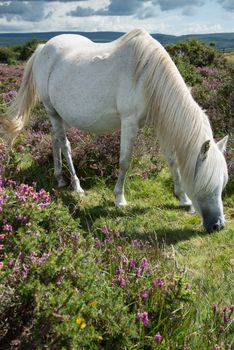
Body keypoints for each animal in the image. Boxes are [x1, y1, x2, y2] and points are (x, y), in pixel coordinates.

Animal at [0, 28, 229, 232]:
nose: (217, 226)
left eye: (223, 182)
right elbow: (125, 161)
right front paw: (119, 198)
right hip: (51, 110)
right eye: (204, 182)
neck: (146, 74)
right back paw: (76, 186)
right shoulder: (129, 122)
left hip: (58, 113)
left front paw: (183, 199)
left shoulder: (159, 124)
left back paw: (60, 179)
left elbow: (172, 161)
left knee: (54, 140)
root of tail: (42, 48)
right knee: (65, 145)